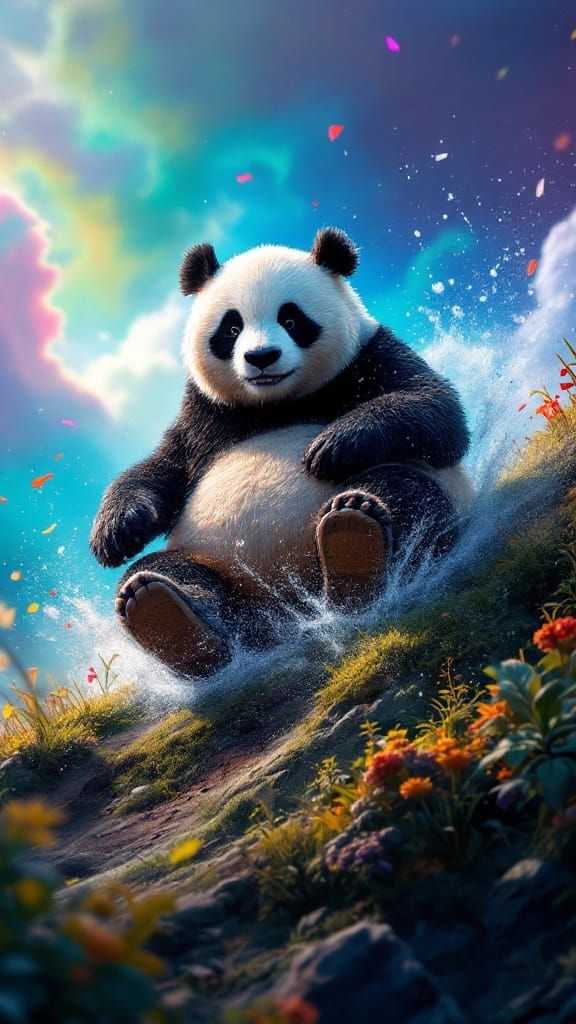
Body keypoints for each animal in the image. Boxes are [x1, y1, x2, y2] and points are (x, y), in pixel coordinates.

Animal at [90, 228, 472, 677]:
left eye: (291, 320)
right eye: (231, 327)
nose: (261, 357)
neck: (275, 404)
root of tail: (290, 613)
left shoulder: (370, 357)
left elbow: (437, 412)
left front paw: (333, 446)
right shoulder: (203, 416)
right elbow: (161, 469)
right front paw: (118, 530)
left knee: (406, 493)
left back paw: (355, 535)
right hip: (217, 567)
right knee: (166, 572)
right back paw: (167, 615)